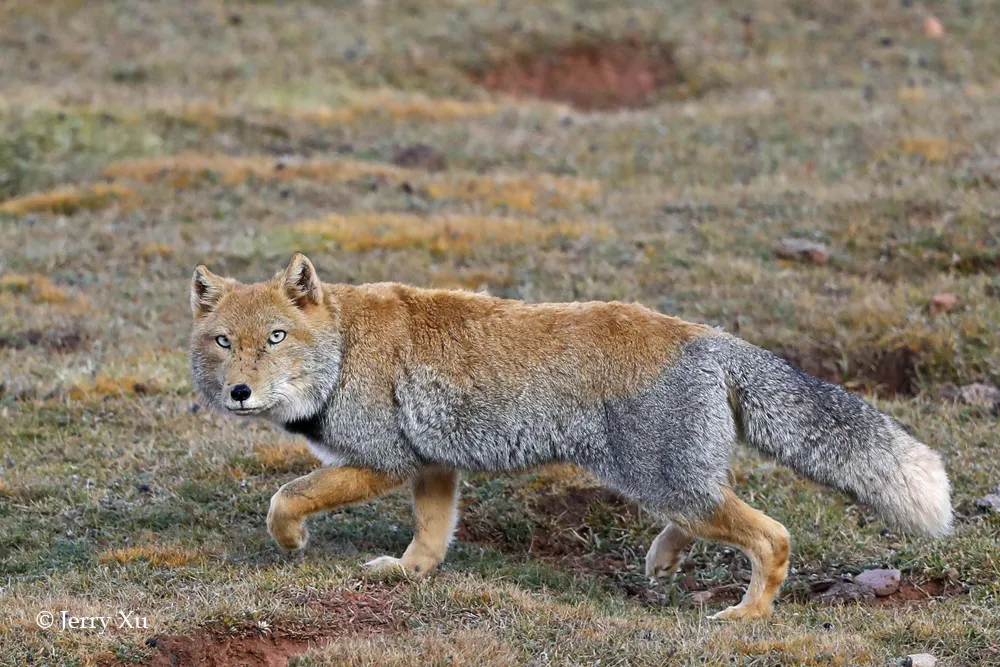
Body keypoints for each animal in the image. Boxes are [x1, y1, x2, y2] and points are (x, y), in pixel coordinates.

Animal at [189, 252, 952, 620]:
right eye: (224, 342)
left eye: (275, 338)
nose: (239, 393)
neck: (344, 348)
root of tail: (703, 334)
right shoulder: (434, 464)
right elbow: (431, 537)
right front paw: (408, 573)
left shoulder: (382, 460)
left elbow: (286, 496)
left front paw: (293, 541)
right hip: (675, 483)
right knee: (711, 515)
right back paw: (666, 561)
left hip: (667, 481)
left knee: (773, 535)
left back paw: (747, 614)